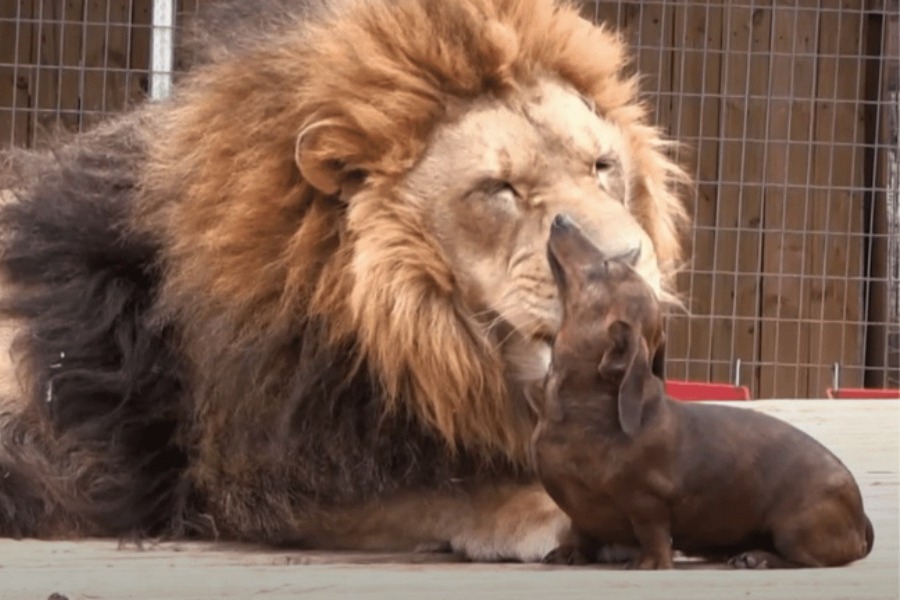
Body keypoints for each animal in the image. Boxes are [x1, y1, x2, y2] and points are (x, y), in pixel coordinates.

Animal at [532, 214, 876, 568]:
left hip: (795, 530)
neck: (586, 406)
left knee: (803, 560)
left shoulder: (648, 502)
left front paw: (650, 562)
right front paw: (570, 552)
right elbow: (580, 533)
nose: (561, 218)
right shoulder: (581, 515)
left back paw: (758, 558)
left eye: (605, 266)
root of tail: (860, 518)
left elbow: (653, 534)